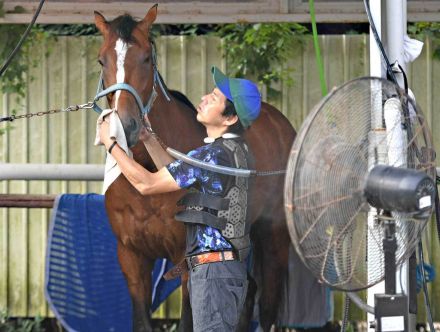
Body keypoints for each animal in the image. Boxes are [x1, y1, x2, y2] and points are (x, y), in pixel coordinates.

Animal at [94, 5, 298, 332]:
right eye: (102, 60)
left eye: (147, 58)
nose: (125, 125)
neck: (147, 169)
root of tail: (282, 126)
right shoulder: (131, 256)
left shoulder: (186, 260)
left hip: (274, 239)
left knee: (267, 307)